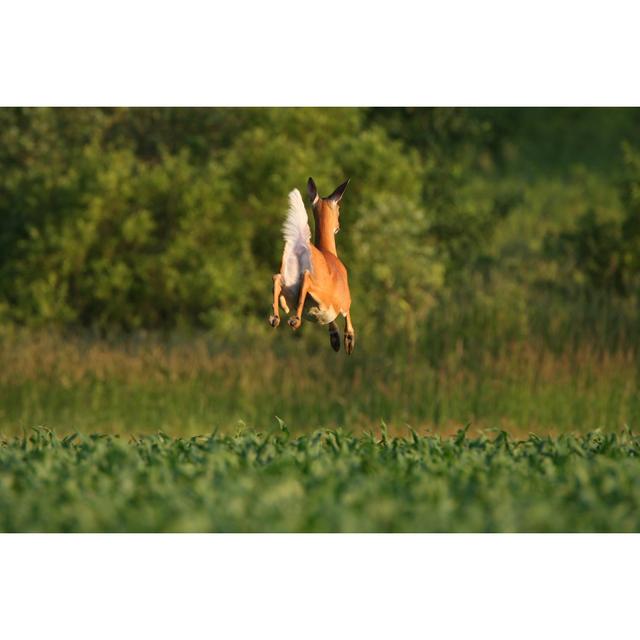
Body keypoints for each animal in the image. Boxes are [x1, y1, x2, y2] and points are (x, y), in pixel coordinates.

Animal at [266, 178, 356, 356]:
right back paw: (295, 320)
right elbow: (347, 314)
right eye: (339, 208)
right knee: (305, 279)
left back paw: (276, 317)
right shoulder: (342, 300)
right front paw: (347, 340)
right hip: (320, 291)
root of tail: (300, 244)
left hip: (289, 283)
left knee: (277, 278)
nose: (338, 226)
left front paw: (335, 338)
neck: (329, 251)